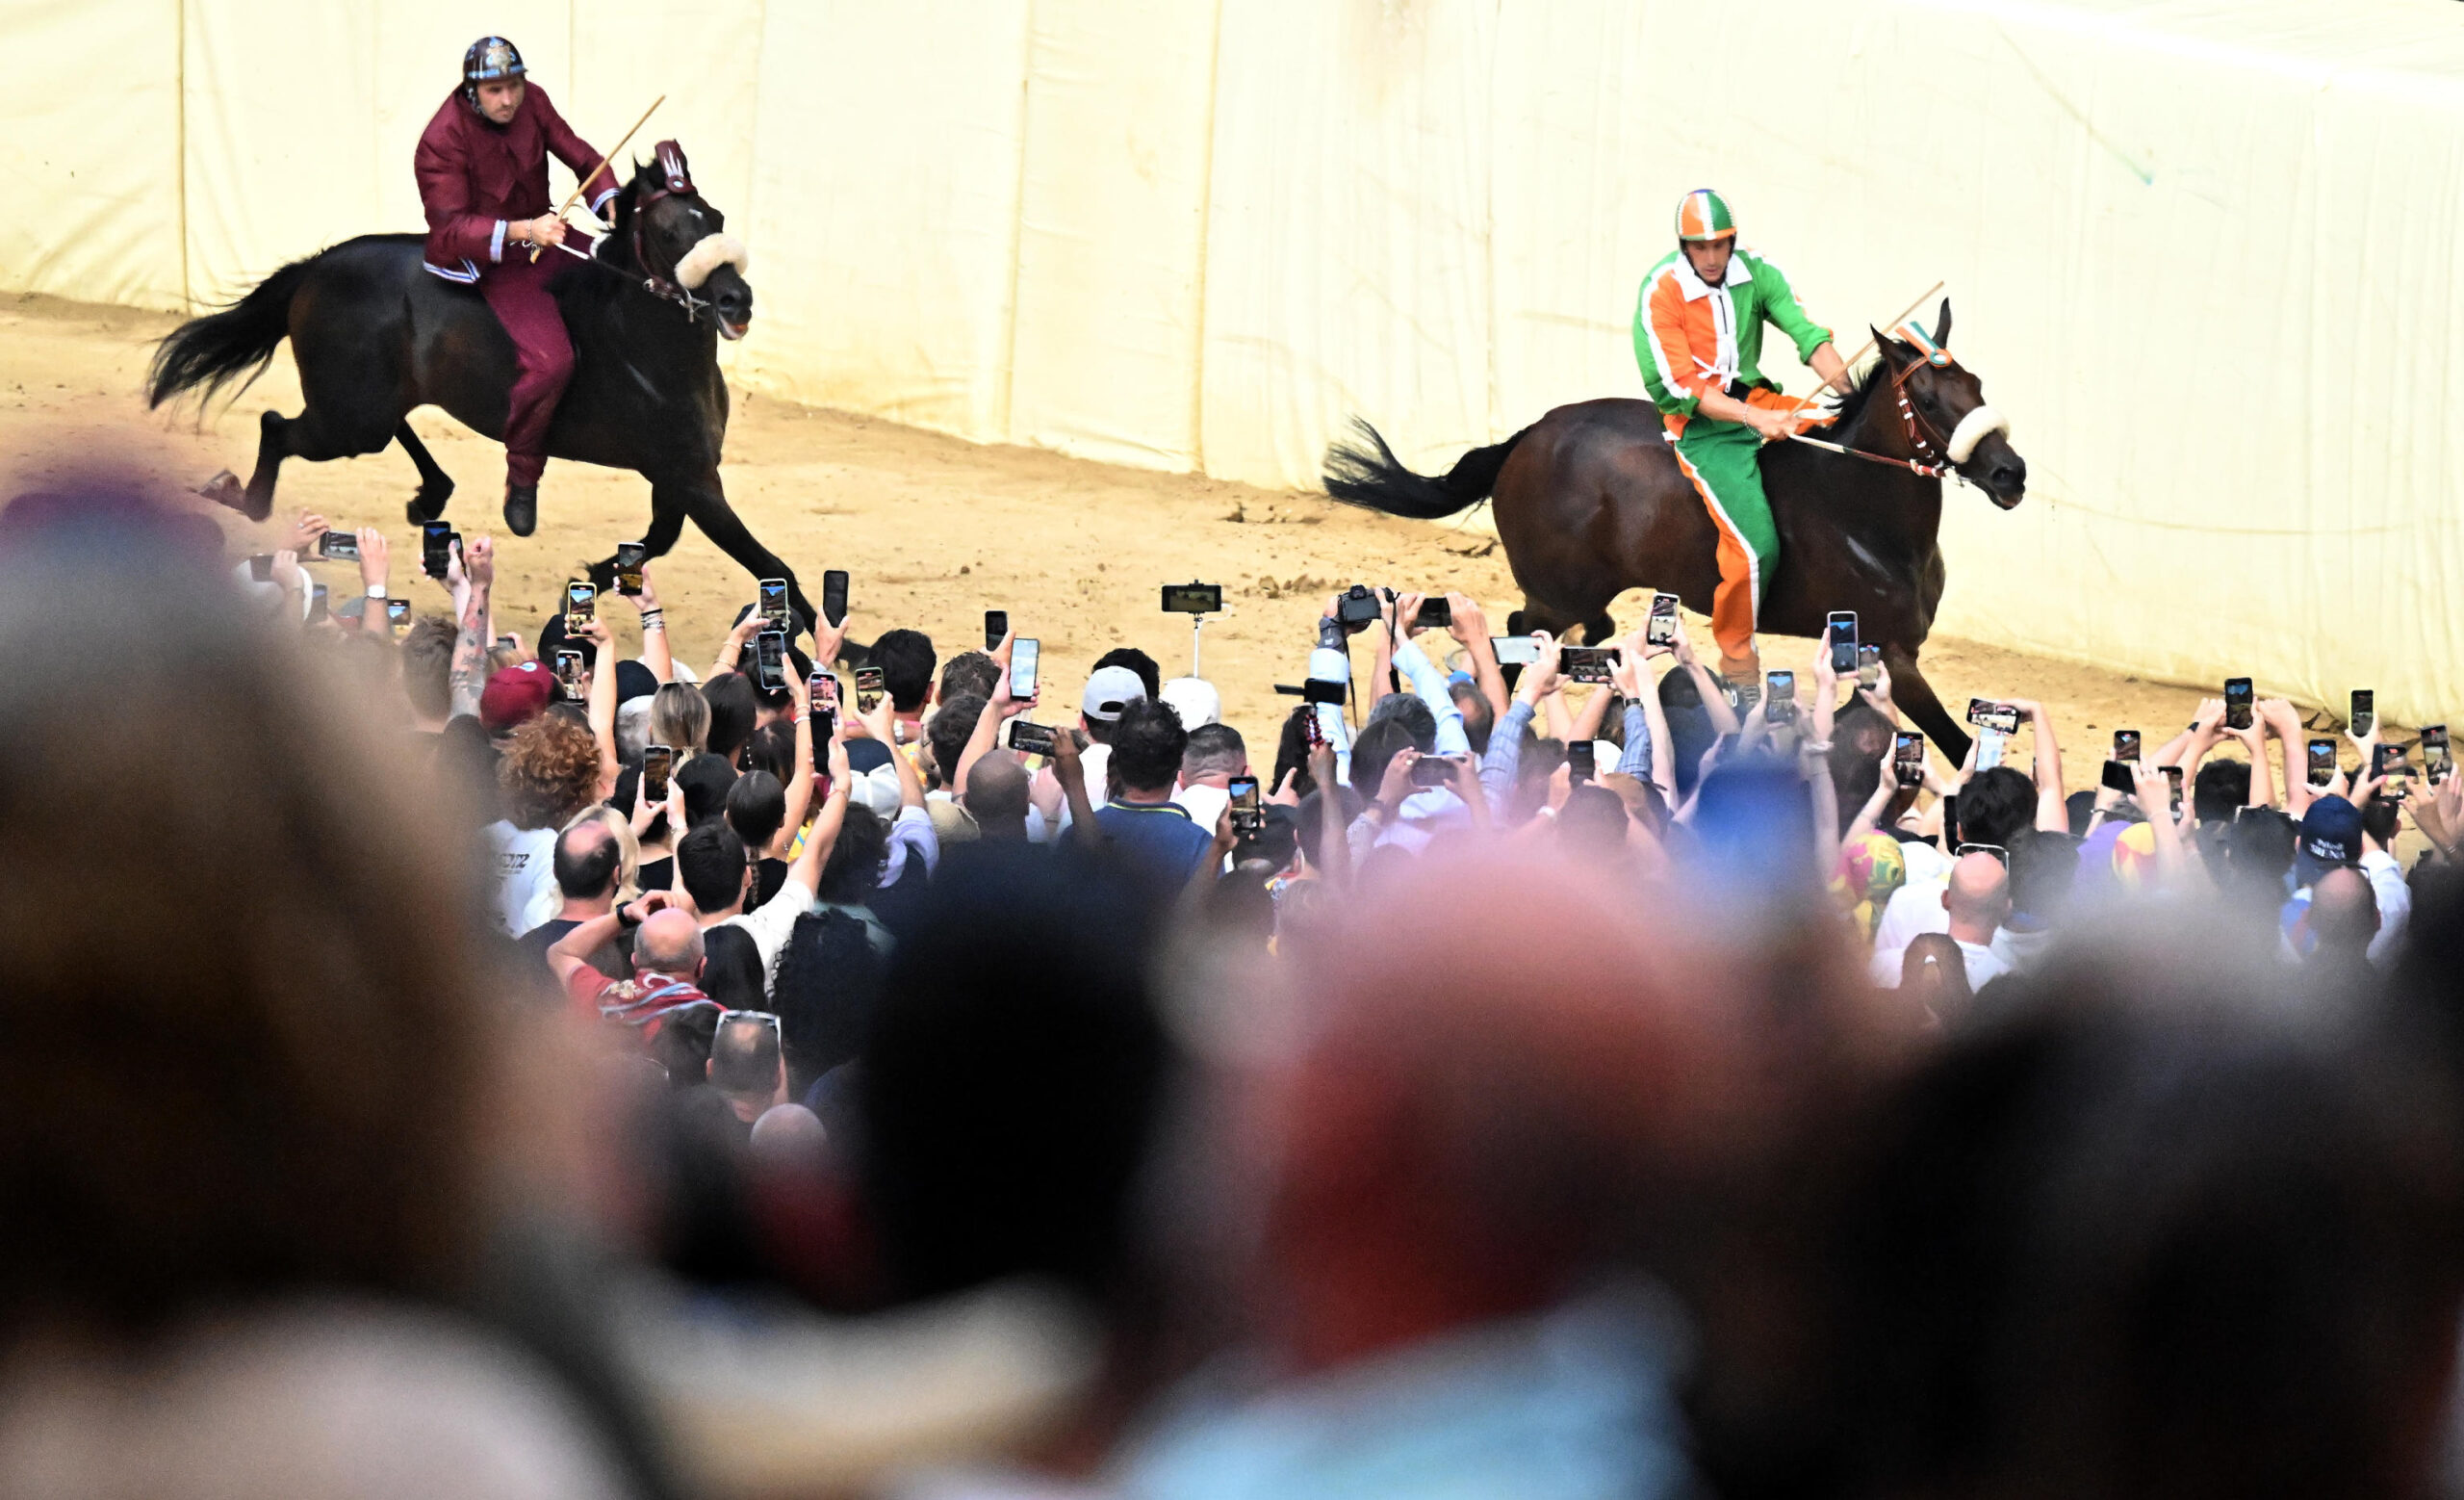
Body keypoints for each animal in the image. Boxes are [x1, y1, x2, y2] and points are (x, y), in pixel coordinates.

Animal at [1330, 301, 2020, 758]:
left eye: (1976, 385)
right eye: (1927, 401)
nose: (2010, 472)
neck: (1863, 514)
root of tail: (1529, 435)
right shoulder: (1894, 652)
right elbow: (1957, 746)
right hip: (1557, 591)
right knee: (1520, 634)